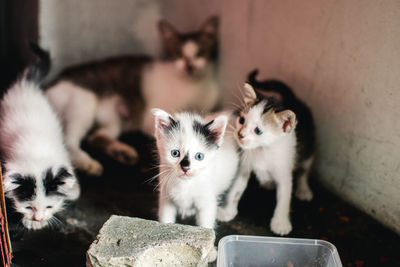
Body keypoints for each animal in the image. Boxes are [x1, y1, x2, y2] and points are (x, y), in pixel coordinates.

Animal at [0, 45, 80, 231]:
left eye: (49, 206)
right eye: (28, 207)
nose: (39, 218)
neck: (36, 153)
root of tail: (25, 87)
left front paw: (73, 191)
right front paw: (32, 222)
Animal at [45, 16, 220, 176]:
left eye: (200, 53)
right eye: (178, 54)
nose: (189, 66)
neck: (192, 86)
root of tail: (49, 85)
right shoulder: (151, 121)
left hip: (113, 119)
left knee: (96, 137)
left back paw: (122, 153)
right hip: (83, 103)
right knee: (69, 141)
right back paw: (86, 162)